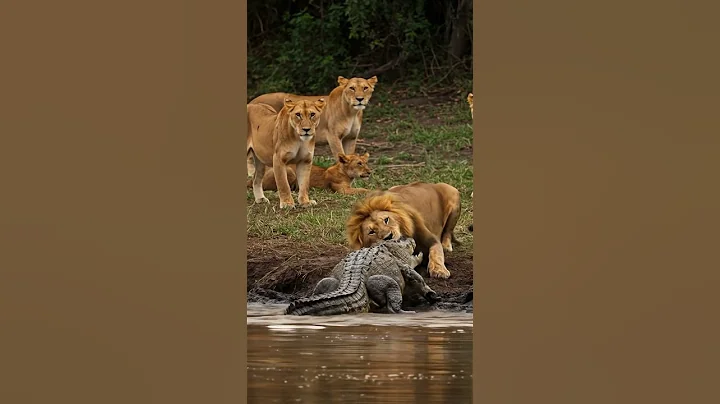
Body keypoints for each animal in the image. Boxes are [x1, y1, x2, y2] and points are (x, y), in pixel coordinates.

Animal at [249, 76, 378, 161]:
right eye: (352, 88)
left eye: (365, 88)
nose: (360, 99)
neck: (352, 113)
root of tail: (252, 101)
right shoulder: (333, 136)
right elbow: (340, 157)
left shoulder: (351, 138)